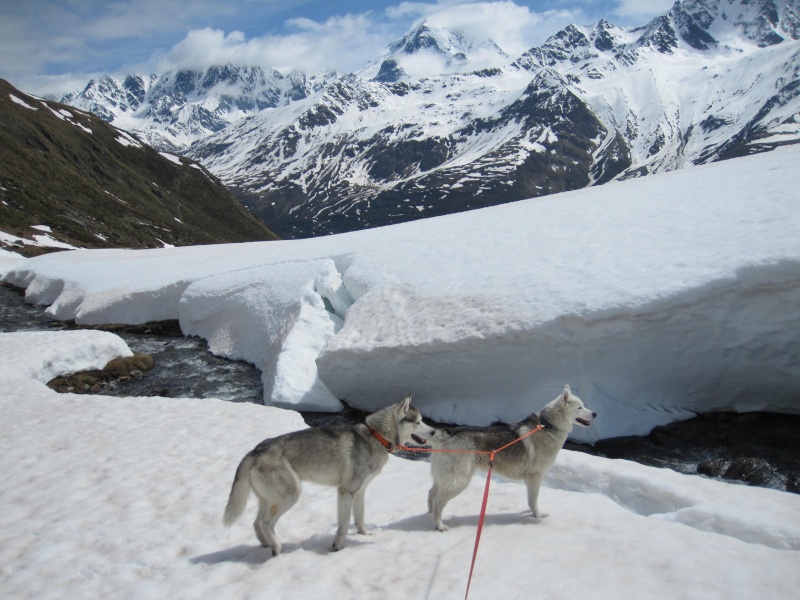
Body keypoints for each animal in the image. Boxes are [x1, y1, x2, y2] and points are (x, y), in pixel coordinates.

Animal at [222, 396, 434, 556]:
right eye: (417, 421)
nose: (433, 431)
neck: (376, 436)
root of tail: (255, 451)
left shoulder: (360, 491)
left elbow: (360, 517)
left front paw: (364, 534)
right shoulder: (346, 491)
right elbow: (344, 523)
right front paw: (338, 547)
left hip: (269, 500)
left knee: (257, 522)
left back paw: (266, 544)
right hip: (291, 495)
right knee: (266, 523)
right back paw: (276, 547)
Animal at [432, 384, 592, 528]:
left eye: (584, 406)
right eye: (580, 407)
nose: (595, 413)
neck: (548, 426)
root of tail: (446, 433)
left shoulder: (530, 479)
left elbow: (530, 499)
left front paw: (531, 512)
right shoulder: (536, 477)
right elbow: (534, 500)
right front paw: (537, 515)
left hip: (443, 480)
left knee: (431, 496)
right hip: (458, 481)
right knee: (438, 502)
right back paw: (439, 525)